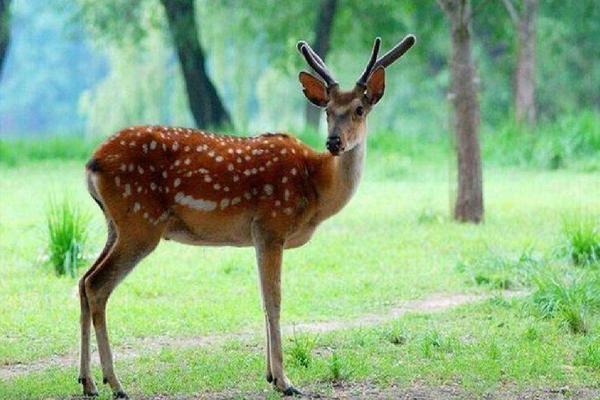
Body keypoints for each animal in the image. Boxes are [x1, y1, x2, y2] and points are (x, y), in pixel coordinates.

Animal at [78, 33, 418, 396]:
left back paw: (88, 381)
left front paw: (269, 375)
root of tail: (92, 164)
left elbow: (262, 299)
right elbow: (274, 300)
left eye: (359, 109)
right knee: (97, 285)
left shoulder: (257, 235)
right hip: (140, 222)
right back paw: (115, 383)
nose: (334, 142)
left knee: (83, 280)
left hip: (115, 224)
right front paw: (285, 381)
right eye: (327, 111)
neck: (315, 187)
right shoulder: (272, 224)